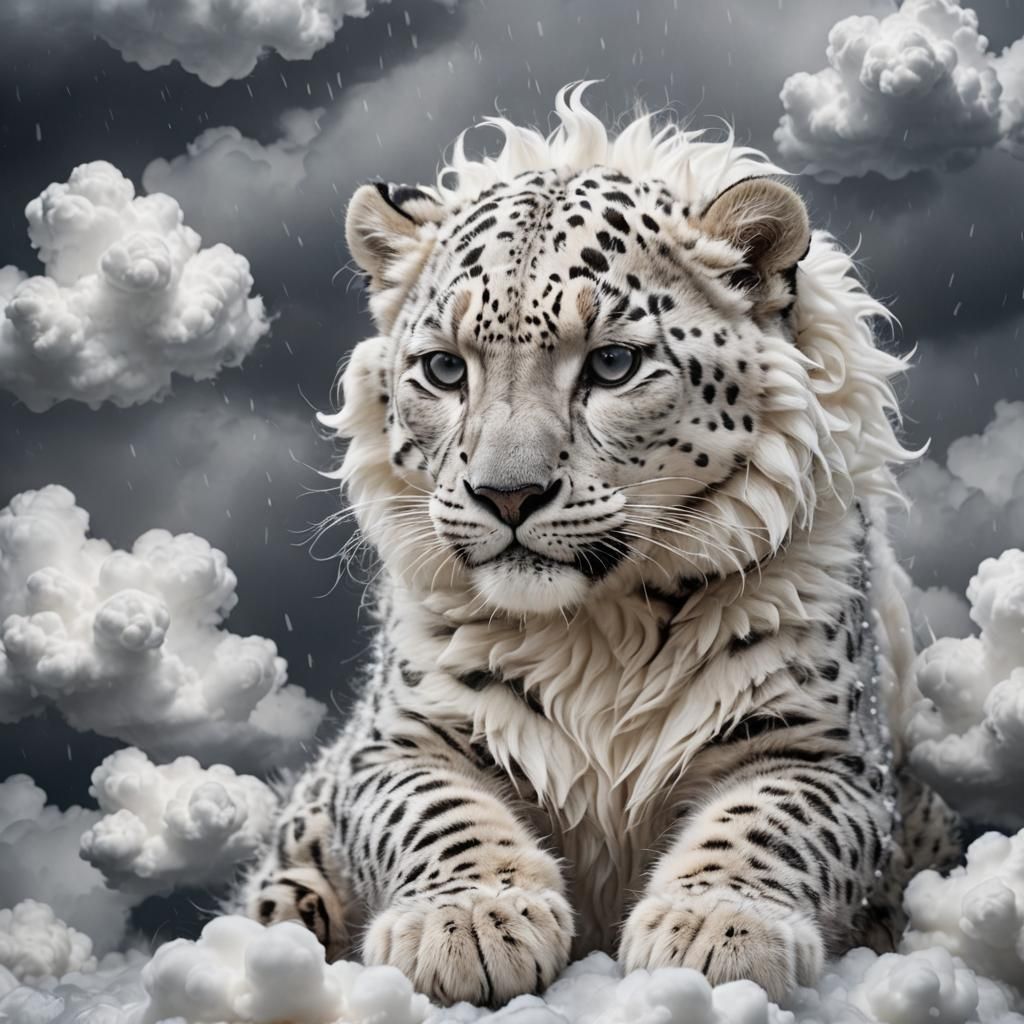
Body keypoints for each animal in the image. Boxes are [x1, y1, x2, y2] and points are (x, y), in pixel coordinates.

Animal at [234, 84, 961, 1006]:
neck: (598, 634)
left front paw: (715, 927)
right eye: (444, 370)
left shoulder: (823, 746)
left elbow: (770, 821)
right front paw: (473, 919)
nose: (507, 493)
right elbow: (433, 810)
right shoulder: (394, 739)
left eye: (613, 365)